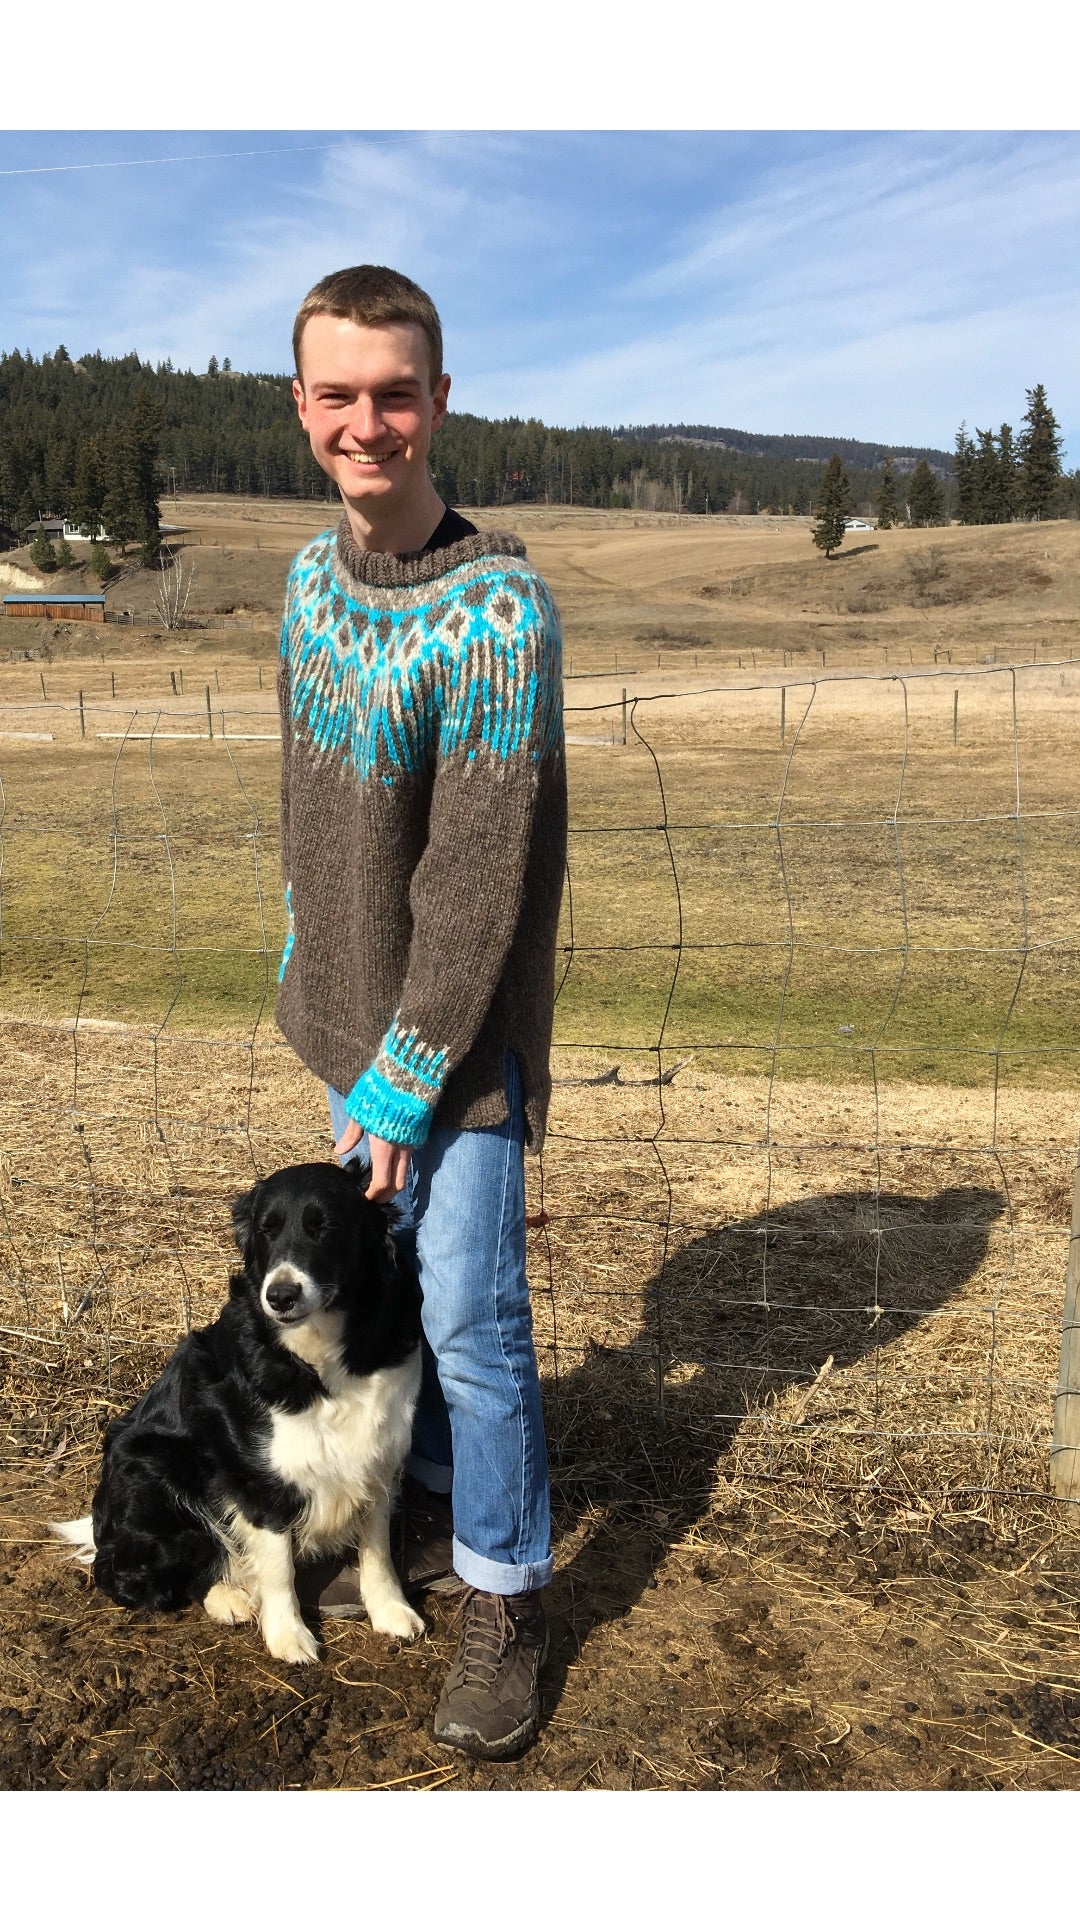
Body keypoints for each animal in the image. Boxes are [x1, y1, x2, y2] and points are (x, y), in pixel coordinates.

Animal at [52, 1152, 424, 1666]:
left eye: (324, 1227)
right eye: (266, 1232)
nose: (280, 1296)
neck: (320, 1354)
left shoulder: (379, 1460)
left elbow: (378, 1548)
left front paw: (389, 1609)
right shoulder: (259, 1480)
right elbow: (280, 1566)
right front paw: (288, 1635)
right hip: (151, 1465)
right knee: (124, 1573)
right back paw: (226, 1597)